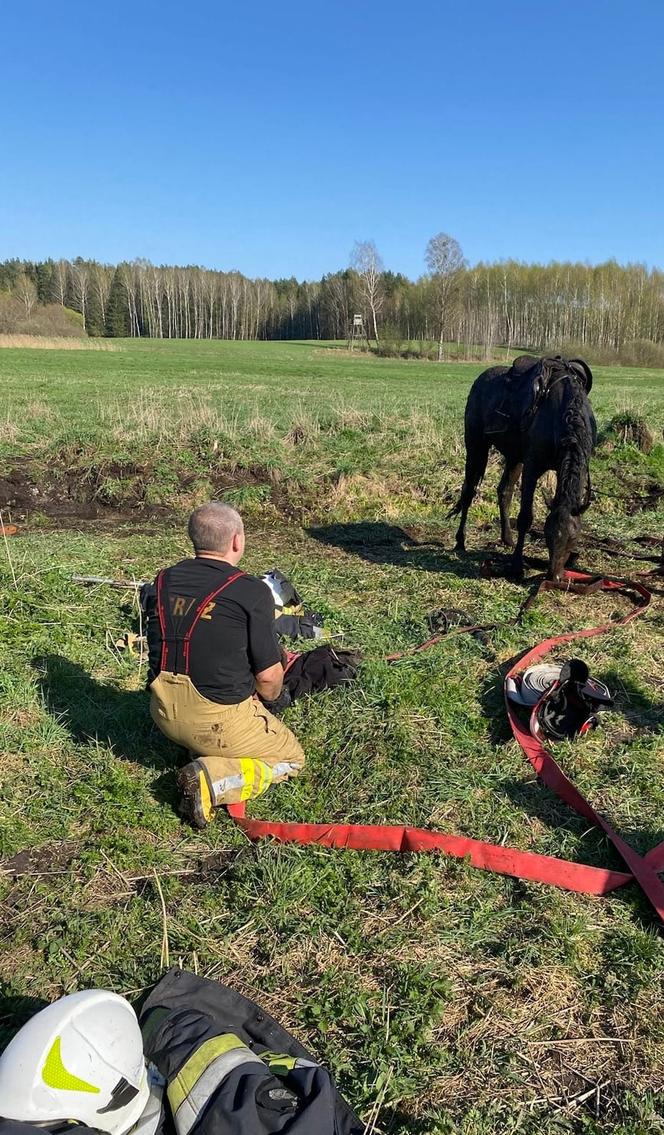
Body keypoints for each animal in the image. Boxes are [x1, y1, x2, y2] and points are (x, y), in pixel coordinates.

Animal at [449, 354, 594, 581]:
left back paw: (507, 538)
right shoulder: (532, 468)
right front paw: (516, 567)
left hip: (514, 457)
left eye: (573, 538)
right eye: (547, 535)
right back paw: (460, 541)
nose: (553, 577)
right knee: (468, 492)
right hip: (476, 447)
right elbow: (525, 517)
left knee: (504, 491)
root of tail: (481, 379)